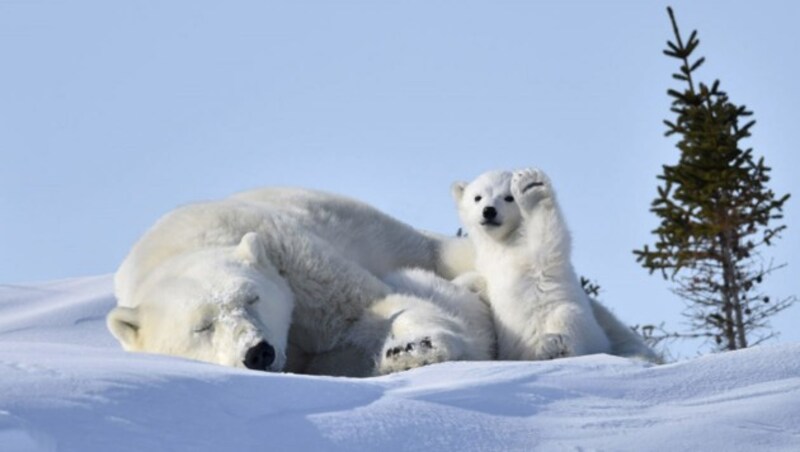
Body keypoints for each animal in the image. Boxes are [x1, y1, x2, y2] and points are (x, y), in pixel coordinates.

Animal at [106, 185, 494, 376]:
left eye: (253, 297)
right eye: (202, 327)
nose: (258, 352)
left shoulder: (293, 260)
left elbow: (367, 307)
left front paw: (415, 348)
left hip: (400, 238)